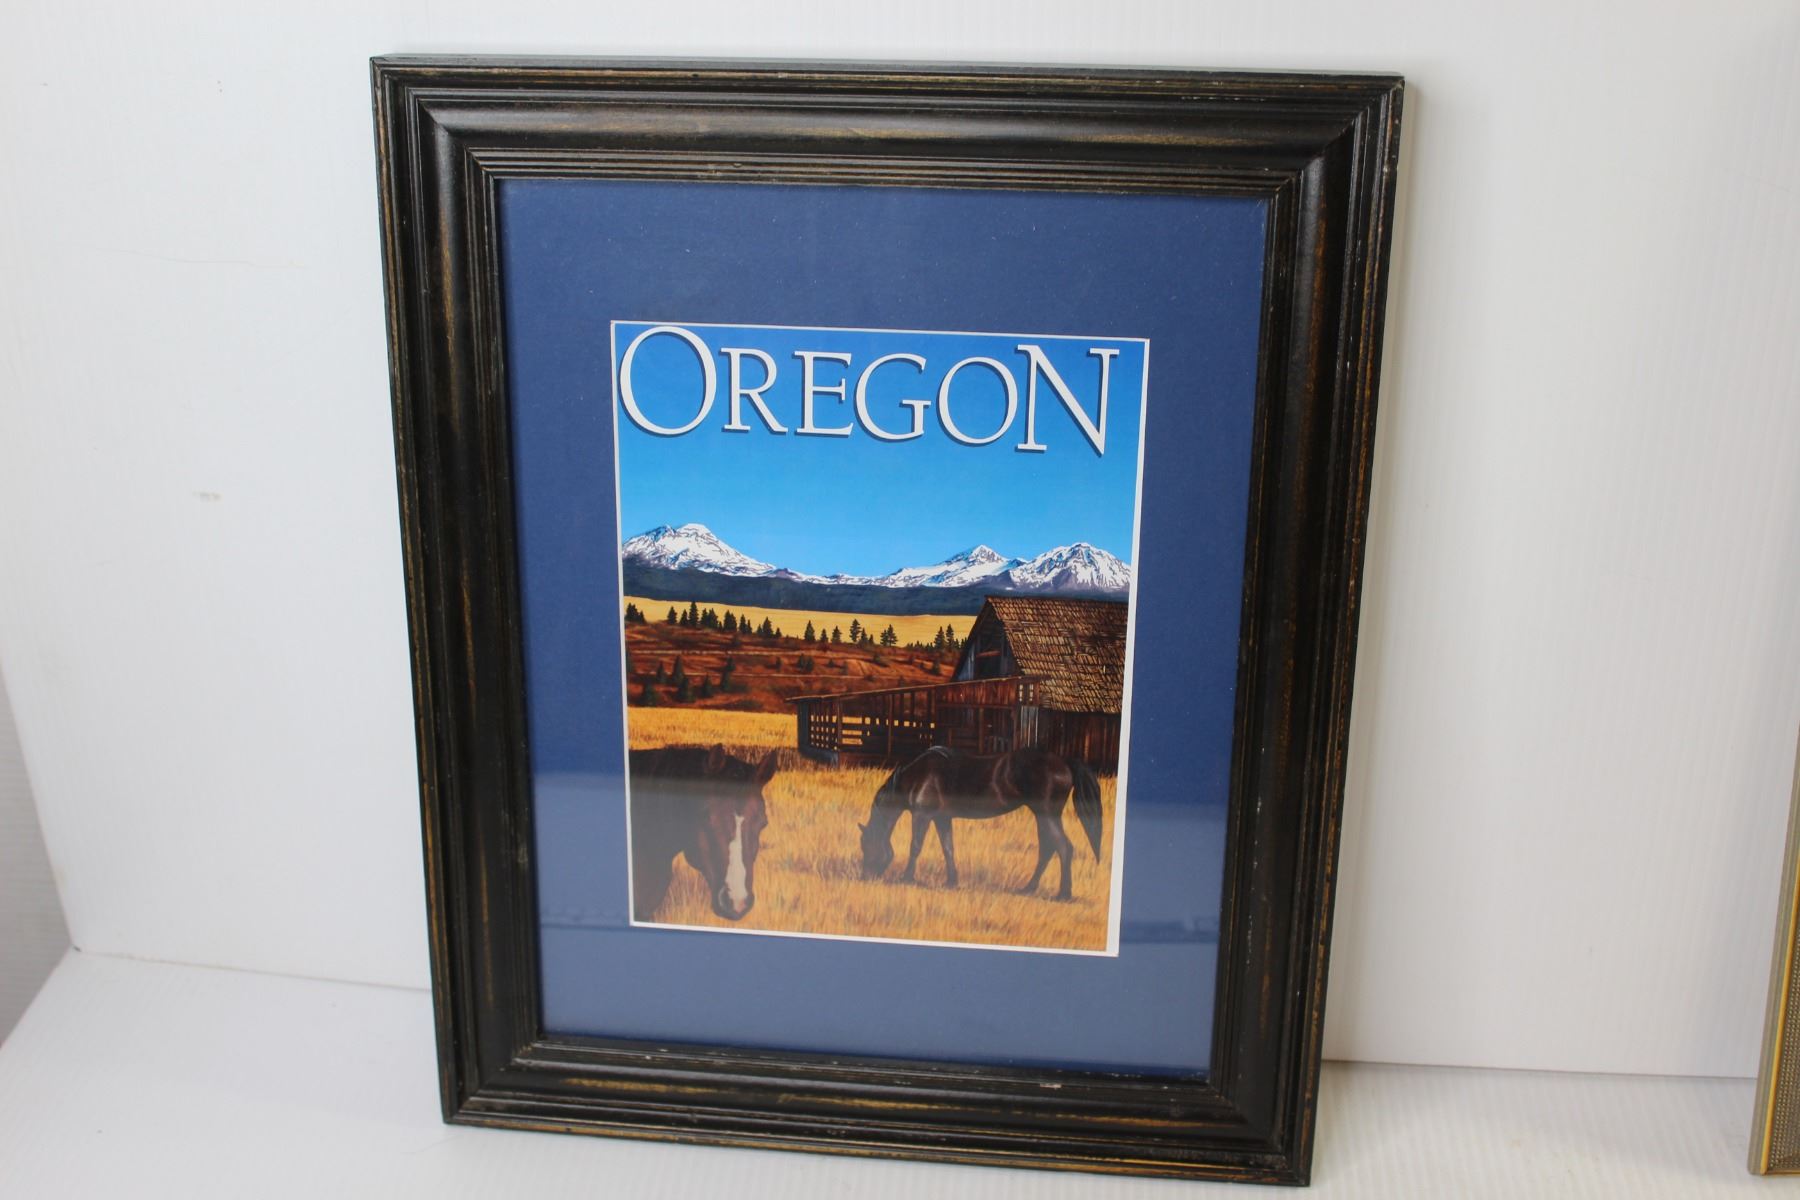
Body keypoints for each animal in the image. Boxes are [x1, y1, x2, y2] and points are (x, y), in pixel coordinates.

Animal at [859, 745, 1103, 900]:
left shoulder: (922, 816)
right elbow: (948, 848)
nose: (865, 877)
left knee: (1063, 847)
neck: (918, 776)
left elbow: (915, 847)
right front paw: (952, 882)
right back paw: (1028, 889)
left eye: (866, 846)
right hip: (1043, 816)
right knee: (1047, 849)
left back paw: (1063, 894)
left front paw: (907, 878)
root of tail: (1064, 762)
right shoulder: (942, 818)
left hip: (1046, 814)